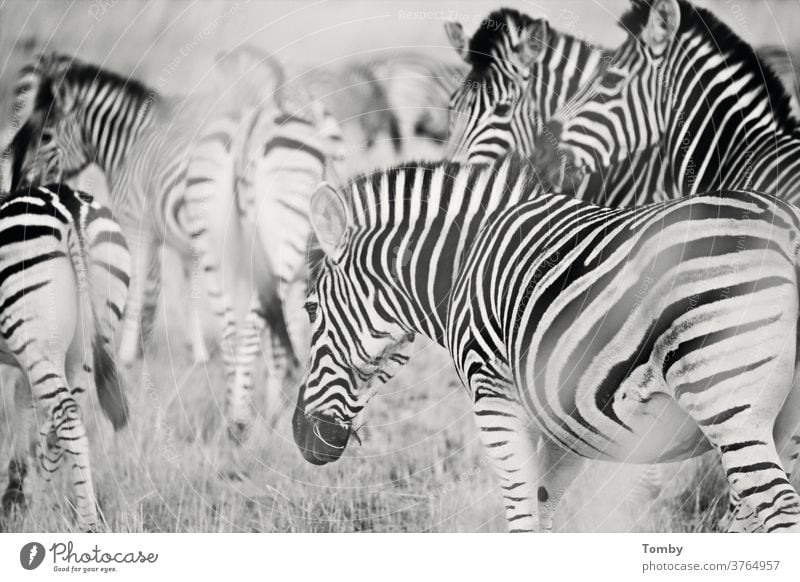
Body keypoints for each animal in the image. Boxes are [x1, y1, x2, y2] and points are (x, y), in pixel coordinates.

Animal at [0, 184, 130, 532]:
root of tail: (72, 206)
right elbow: (24, 415)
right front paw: (15, 496)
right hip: (84, 346)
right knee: (61, 425)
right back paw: (35, 515)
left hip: (36, 339)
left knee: (67, 415)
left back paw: (86, 523)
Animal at [5, 52, 278, 368]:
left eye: (46, 136)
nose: (21, 184)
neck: (131, 144)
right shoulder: (183, 244)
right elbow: (190, 296)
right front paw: (197, 355)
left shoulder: (137, 226)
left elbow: (137, 288)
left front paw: (126, 355)